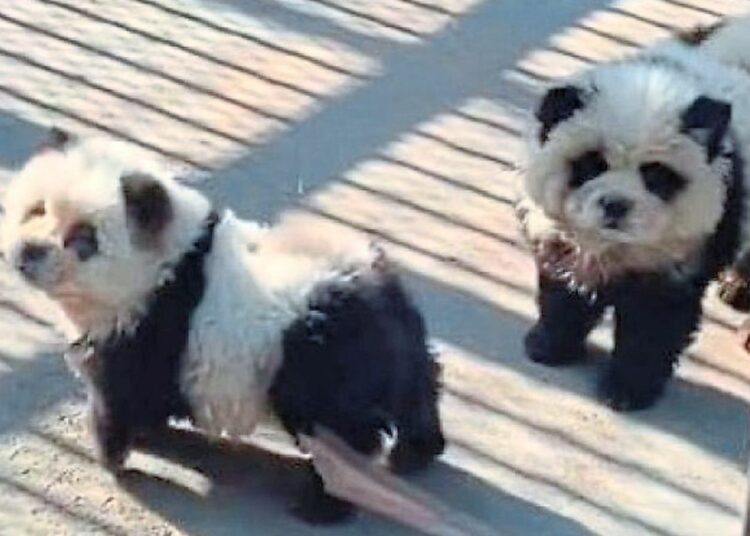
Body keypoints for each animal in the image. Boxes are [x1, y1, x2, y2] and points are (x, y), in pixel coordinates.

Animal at [0, 131, 445, 523]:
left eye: (84, 238)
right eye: (36, 209)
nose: (29, 252)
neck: (167, 265)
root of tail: (377, 291)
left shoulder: (144, 330)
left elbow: (117, 400)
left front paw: (112, 456)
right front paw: (146, 435)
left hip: (319, 360)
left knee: (343, 436)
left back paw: (324, 504)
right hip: (391, 347)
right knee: (421, 385)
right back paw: (419, 450)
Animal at [516, 14, 750, 411]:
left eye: (655, 175)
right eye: (592, 163)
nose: (615, 205)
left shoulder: (683, 252)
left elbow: (654, 324)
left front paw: (626, 389)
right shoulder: (564, 238)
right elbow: (564, 292)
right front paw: (549, 345)